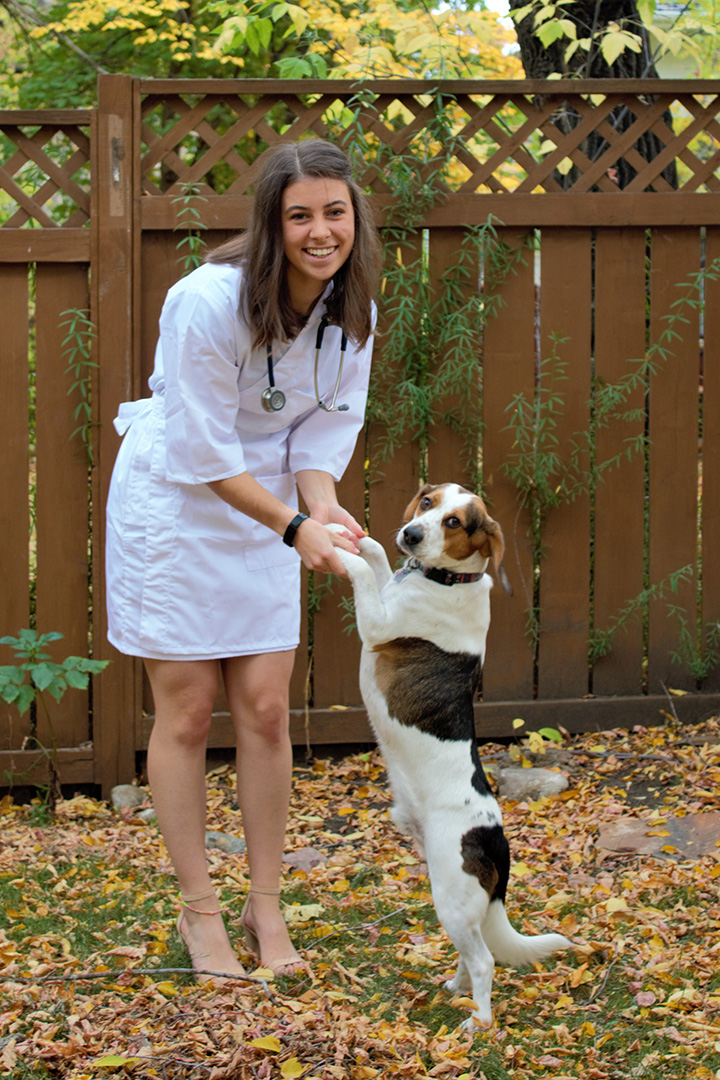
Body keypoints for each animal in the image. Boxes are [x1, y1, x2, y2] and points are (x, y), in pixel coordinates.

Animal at [330, 483, 569, 1028]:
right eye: (427, 502)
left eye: (456, 522)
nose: (412, 534)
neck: (446, 579)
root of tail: (496, 844)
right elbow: (376, 559)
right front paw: (355, 535)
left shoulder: (376, 622)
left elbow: (360, 575)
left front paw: (332, 548)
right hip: (454, 899)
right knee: (474, 949)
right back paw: (457, 988)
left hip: (450, 895)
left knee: (484, 960)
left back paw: (478, 1021)